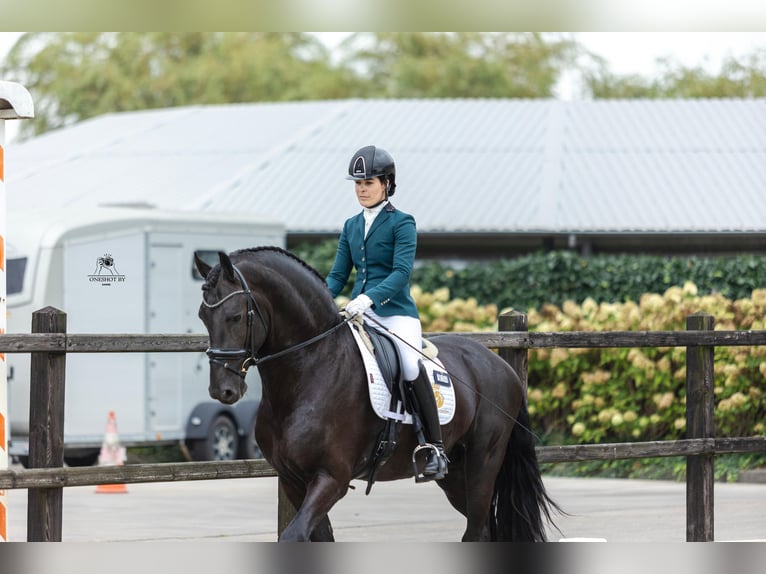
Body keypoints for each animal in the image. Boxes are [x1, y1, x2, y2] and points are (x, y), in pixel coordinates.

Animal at [195, 249, 560, 544]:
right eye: (203, 316)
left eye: (235, 316)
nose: (222, 390)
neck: (310, 370)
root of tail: (499, 364)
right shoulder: (293, 480)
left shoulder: (331, 478)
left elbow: (293, 536)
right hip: (457, 476)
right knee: (482, 529)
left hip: (484, 462)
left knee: (475, 531)